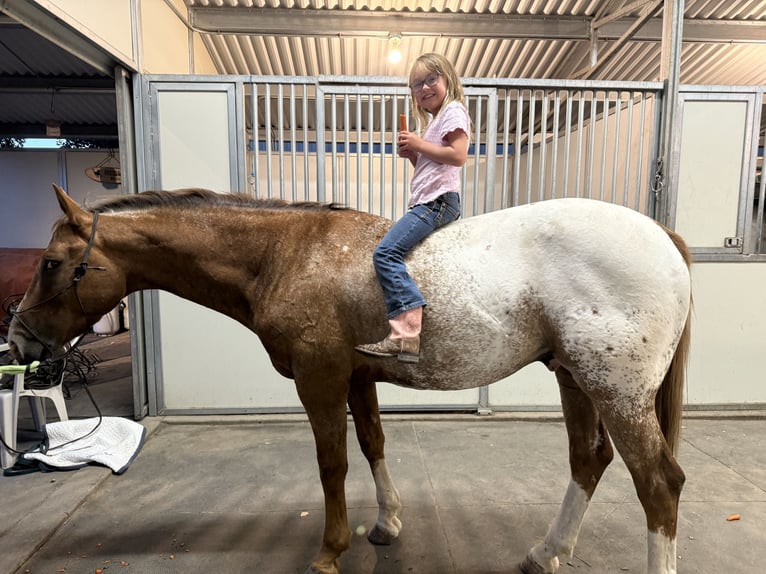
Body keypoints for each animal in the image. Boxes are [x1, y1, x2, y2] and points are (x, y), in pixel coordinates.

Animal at [9, 184, 692, 574]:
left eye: (52, 264)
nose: (19, 341)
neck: (286, 255)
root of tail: (661, 233)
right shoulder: (359, 377)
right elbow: (371, 445)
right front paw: (387, 525)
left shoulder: (321, 377)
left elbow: (332, 463)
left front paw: (330, 551)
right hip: (576, 380)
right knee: (588, 462)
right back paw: (545, 553)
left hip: (616, 391)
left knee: (659, 484)